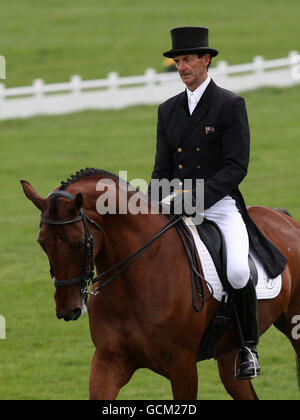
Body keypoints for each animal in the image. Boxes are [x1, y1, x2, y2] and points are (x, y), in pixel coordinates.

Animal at [21, 168, 300, 400]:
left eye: (78, 244)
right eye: (41, 242)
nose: (67, 309)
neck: (136, 283)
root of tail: (284, 218)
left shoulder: (183, 367)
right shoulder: (108, 362)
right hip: (228, 351)